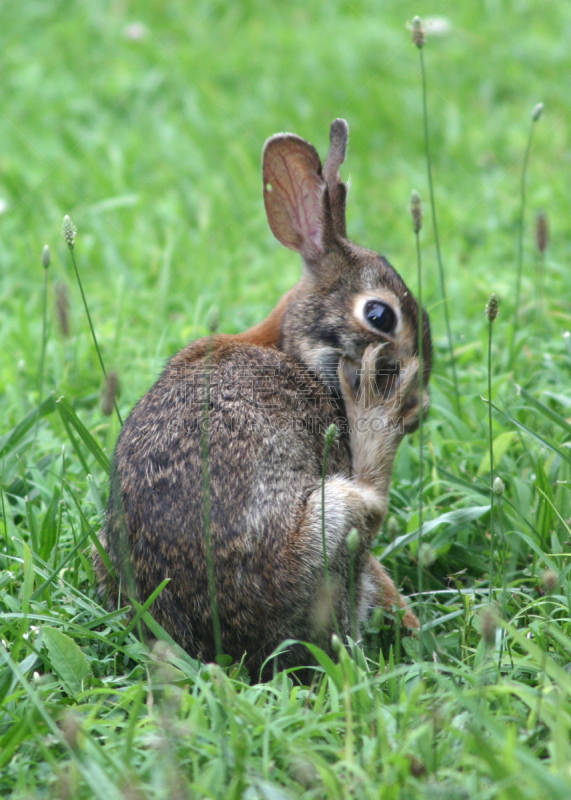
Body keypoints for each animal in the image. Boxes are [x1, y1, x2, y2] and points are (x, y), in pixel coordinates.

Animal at [95, 119, 434, 680]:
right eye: (380, 315)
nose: (417, 407)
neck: (292, 349)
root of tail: (232, 648)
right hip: (329, 523)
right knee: (368, 511)